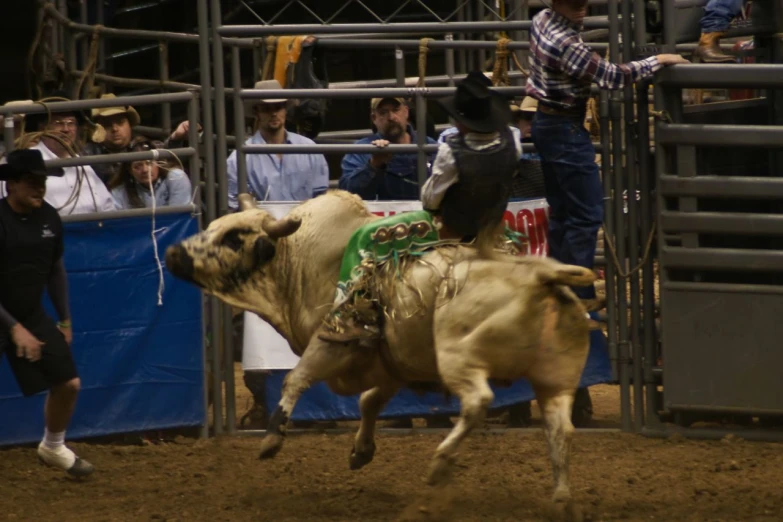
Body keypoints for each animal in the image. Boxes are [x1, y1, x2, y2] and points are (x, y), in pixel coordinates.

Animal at [165, 188, 596, 516]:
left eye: (233, 238)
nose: (172, 254)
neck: (303, 261)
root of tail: (541, 274)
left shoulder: (332, 342)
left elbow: (296, 379)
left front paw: (272, 439)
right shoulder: (389, 366)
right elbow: (369, 402)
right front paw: (361, 451)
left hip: (459, 356)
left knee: (478, 402)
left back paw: (440, 463)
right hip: (555, 380)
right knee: (559, 430)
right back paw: (561, 500)